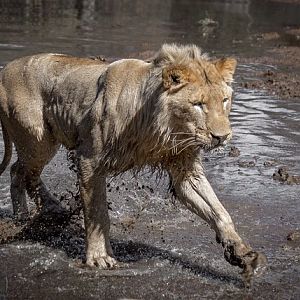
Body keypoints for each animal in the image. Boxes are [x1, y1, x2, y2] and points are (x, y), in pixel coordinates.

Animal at [0, 43, 266, 282]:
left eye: (224, 100)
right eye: (198, 104)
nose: (222, 136)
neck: (161, 128)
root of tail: (6, 69)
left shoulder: (184, 170)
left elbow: (219, 211)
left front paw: (240, 251)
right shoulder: (90, 160)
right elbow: (97, 214)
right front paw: (99, 258)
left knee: (25, 173)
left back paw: (48, 210)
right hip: (38, 140)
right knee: (19, 171)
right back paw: (25, 217)